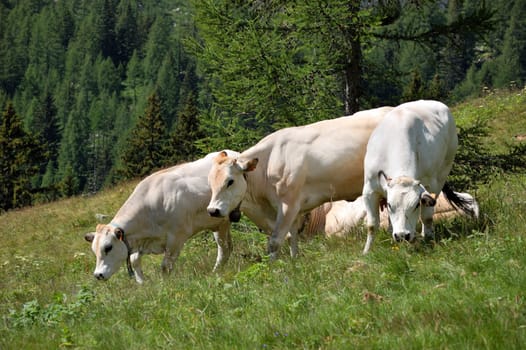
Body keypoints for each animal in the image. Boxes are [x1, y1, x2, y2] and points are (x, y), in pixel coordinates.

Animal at [84, 149, 241, 284]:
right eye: (94, 250)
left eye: (108, 247)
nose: (98, 275)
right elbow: (135, 261)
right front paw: (142, 283)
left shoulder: (176, 238)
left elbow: (166, 265)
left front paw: (165, 284)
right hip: (219, 223)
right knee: (227, 247)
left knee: (223, 249)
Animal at [206, 106, 396, 260]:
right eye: (210, 183)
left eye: (230, 181)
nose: (212, 210)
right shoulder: (295, 210)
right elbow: (292, 238)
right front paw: (294, 263)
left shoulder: (288, 204)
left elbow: (275, 242)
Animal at [364, 100, 474, 253]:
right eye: (390, 205)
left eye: (416, 205)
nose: (402, 235)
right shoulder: (369, 190)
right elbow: (372, 225)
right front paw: (366, 252)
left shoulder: (430, 186)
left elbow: (427, 217)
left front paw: (428, 239)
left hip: (444, 169)